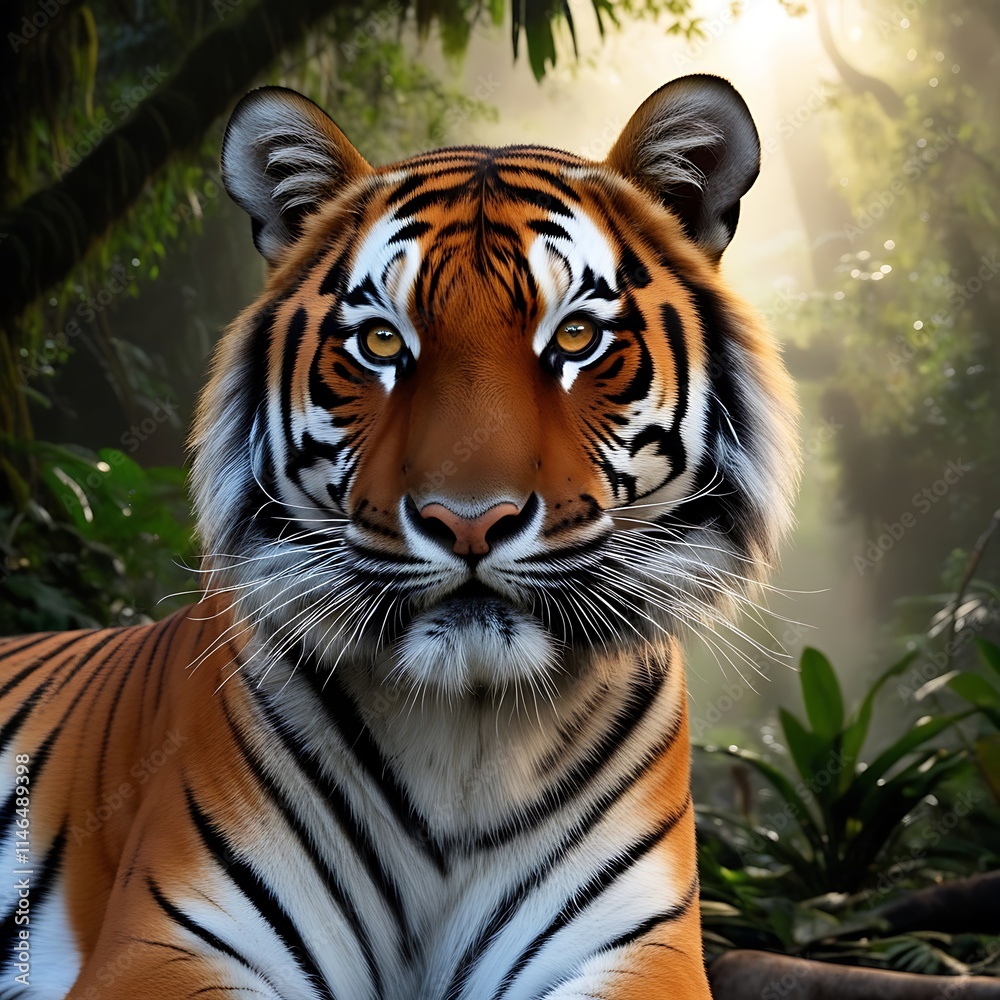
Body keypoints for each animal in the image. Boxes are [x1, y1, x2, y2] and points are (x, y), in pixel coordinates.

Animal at [0, 73, 798, 999]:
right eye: (382, 340)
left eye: (575, 336)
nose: (469, 520)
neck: (467, 733)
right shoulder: (162, 943)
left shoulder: (638, 948)